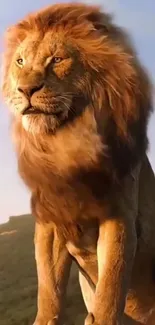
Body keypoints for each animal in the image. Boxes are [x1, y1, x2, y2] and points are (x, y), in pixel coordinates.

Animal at [1, 2, 155, 324]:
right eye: (20, 61)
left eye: (57, 59)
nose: (25, 90)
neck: (66, 144)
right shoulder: (49, 221)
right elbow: (48, 289)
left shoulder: (118, 215)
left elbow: (110, 290)